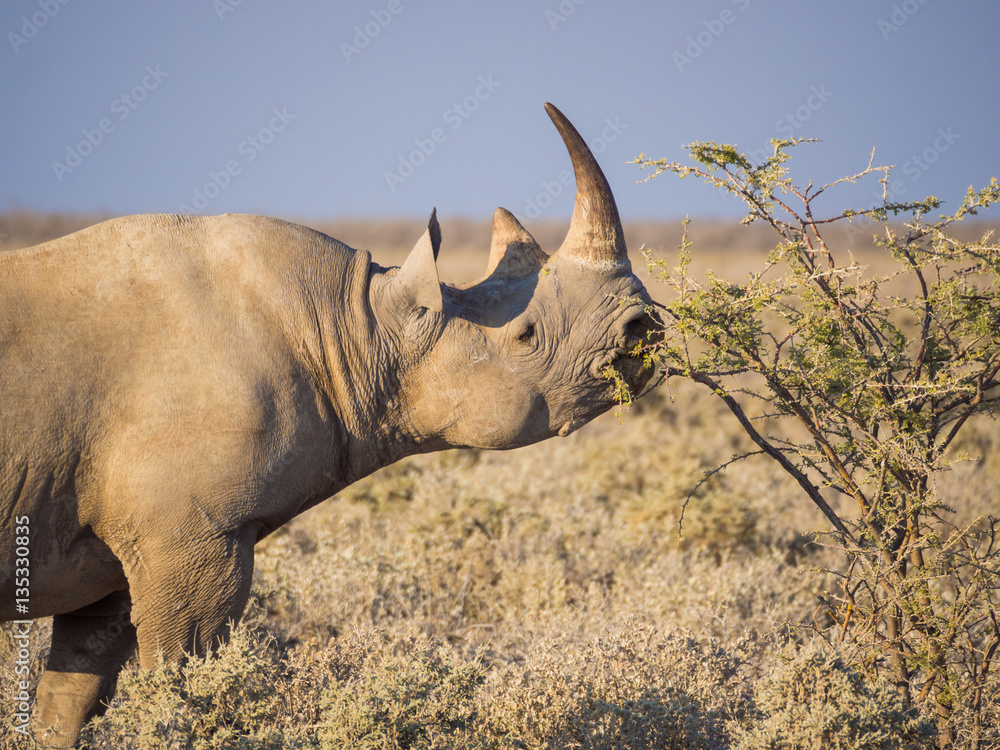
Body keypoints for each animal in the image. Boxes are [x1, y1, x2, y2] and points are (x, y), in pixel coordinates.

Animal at [0, 103, 657, 747]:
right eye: (526, 337)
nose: (643, 328)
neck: (359, 323)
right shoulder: (190, 538)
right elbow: (178, 683)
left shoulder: (116, 554)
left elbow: (70, 697)